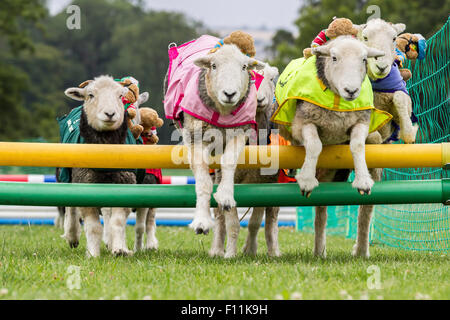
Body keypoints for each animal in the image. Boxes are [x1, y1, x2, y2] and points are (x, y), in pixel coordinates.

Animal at [164, 35, 264, 236]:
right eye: (214, 66)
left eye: (244, 67)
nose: (230, 94)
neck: (222, 113)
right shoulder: (195, 137)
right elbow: (203, 181)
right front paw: (202, 222)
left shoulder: (240, 133)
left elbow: (228, 162)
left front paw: (225, 197)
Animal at [208, 62, 282, 258]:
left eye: (271, 78)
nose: (259, 99)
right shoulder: (229, 180)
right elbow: (232, 222)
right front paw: (230, 253)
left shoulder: (265, 182)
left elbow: (255, 222)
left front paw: (250, 249)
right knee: (219, 217)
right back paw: (217, 249)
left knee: (272, 220)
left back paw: (273, 250)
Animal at [270, 36, 390, 258]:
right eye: (334, 58)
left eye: (364, 59)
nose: (351, 91)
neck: (337, 103)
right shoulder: (303, 123)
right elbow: (315, 145)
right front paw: (306, 179)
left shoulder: (361, 122)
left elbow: (357, 145)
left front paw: (362, 181)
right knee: (321, 213)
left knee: (360, 211)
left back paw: (356, 250)